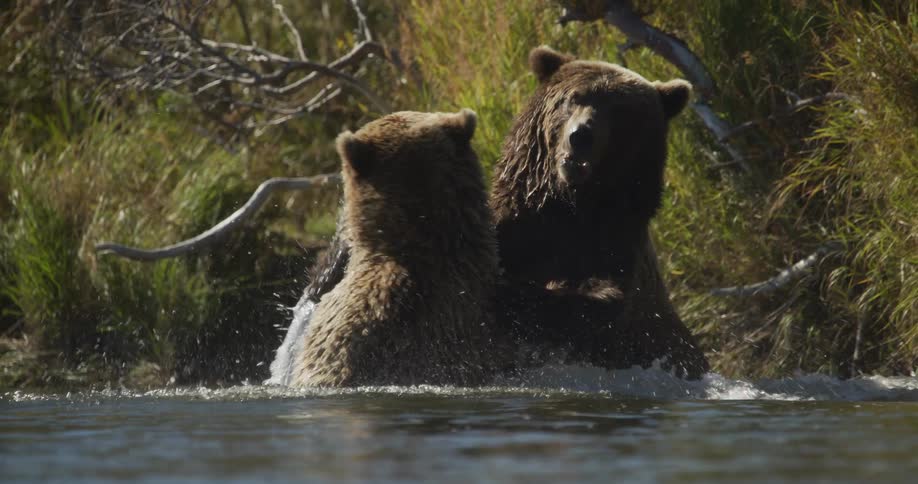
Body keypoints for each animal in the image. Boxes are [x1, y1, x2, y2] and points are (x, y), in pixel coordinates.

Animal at [492, 46, 709, 378]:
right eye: (572, 98)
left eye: (619, 111)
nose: (580, 136)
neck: (573, 205)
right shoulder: (520, 224)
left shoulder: (613, 244)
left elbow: (601, 303)